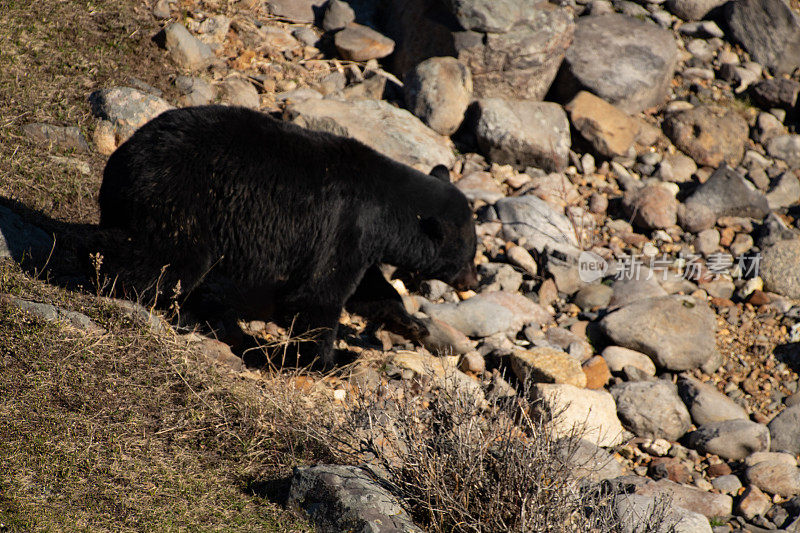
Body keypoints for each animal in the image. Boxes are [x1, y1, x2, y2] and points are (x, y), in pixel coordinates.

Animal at [97, 104, 478, 366]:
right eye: (469, 255)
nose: (472, 280)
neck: (388, 210)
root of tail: (123, 159)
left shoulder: (358, 241)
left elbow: (369, 289)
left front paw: (413, 325)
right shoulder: (345, 225)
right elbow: (318, 295)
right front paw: (331, 359)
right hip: (181, 199)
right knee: (168, 261)